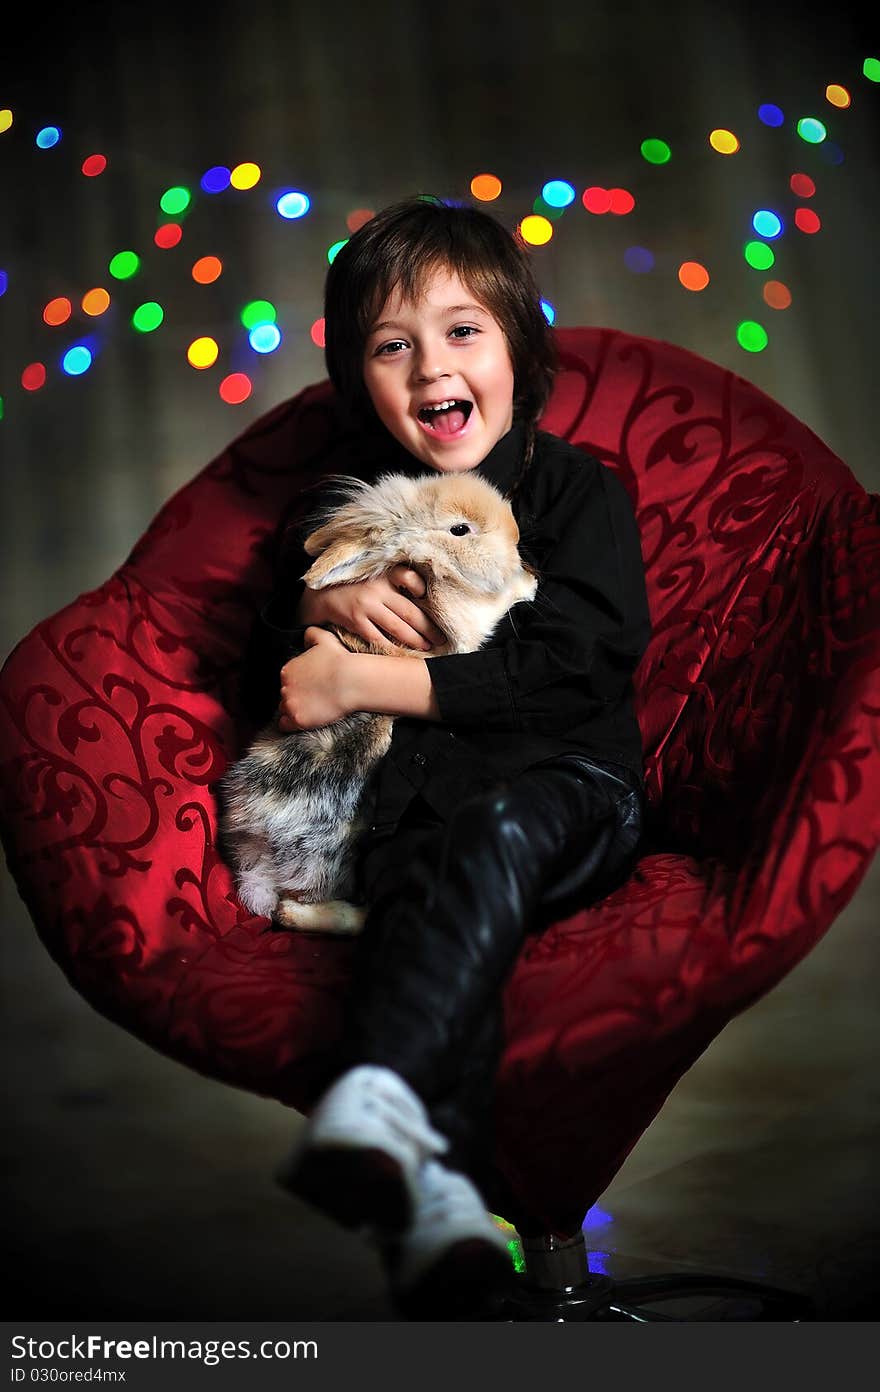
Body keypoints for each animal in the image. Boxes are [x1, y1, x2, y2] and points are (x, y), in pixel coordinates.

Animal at [218, 467, 537, 935]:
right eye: (460, 529)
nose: (515, 536)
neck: (421, 564)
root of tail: (256, 855)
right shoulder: (460, 623)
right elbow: (490, 608)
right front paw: (526, 584)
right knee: (330, 911)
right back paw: (323, 913)